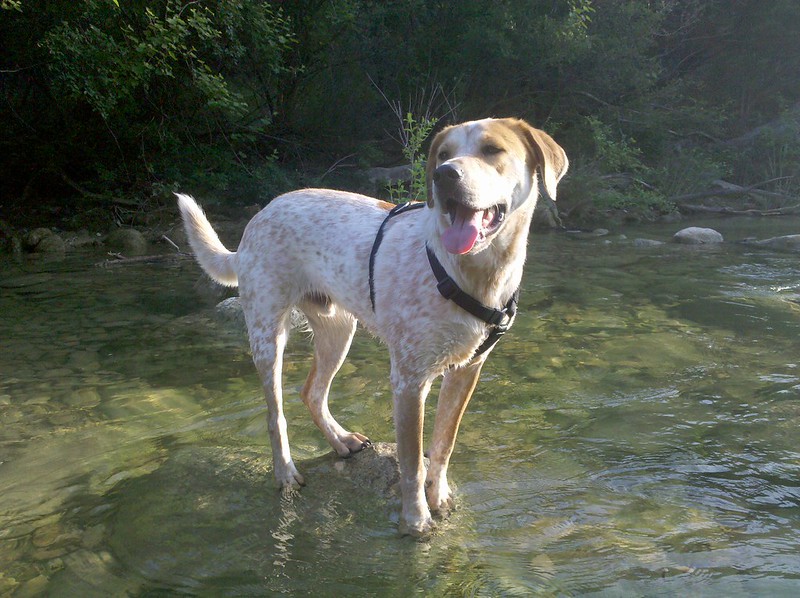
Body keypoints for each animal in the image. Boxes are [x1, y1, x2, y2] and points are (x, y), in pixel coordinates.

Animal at [180, 116, 568, 536]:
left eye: (493, 149)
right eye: (443, 154)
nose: (444, 175)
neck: (474, 273)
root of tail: (258, 218)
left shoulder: (467, 370)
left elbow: (443, 444)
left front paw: (439, 497)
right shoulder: (409, 381)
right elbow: (412, 461)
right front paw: (415, 520)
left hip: (338, 331)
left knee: (312, 392)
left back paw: (341, 441)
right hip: (269, 336)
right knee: (276, 414)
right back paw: (285, 473)